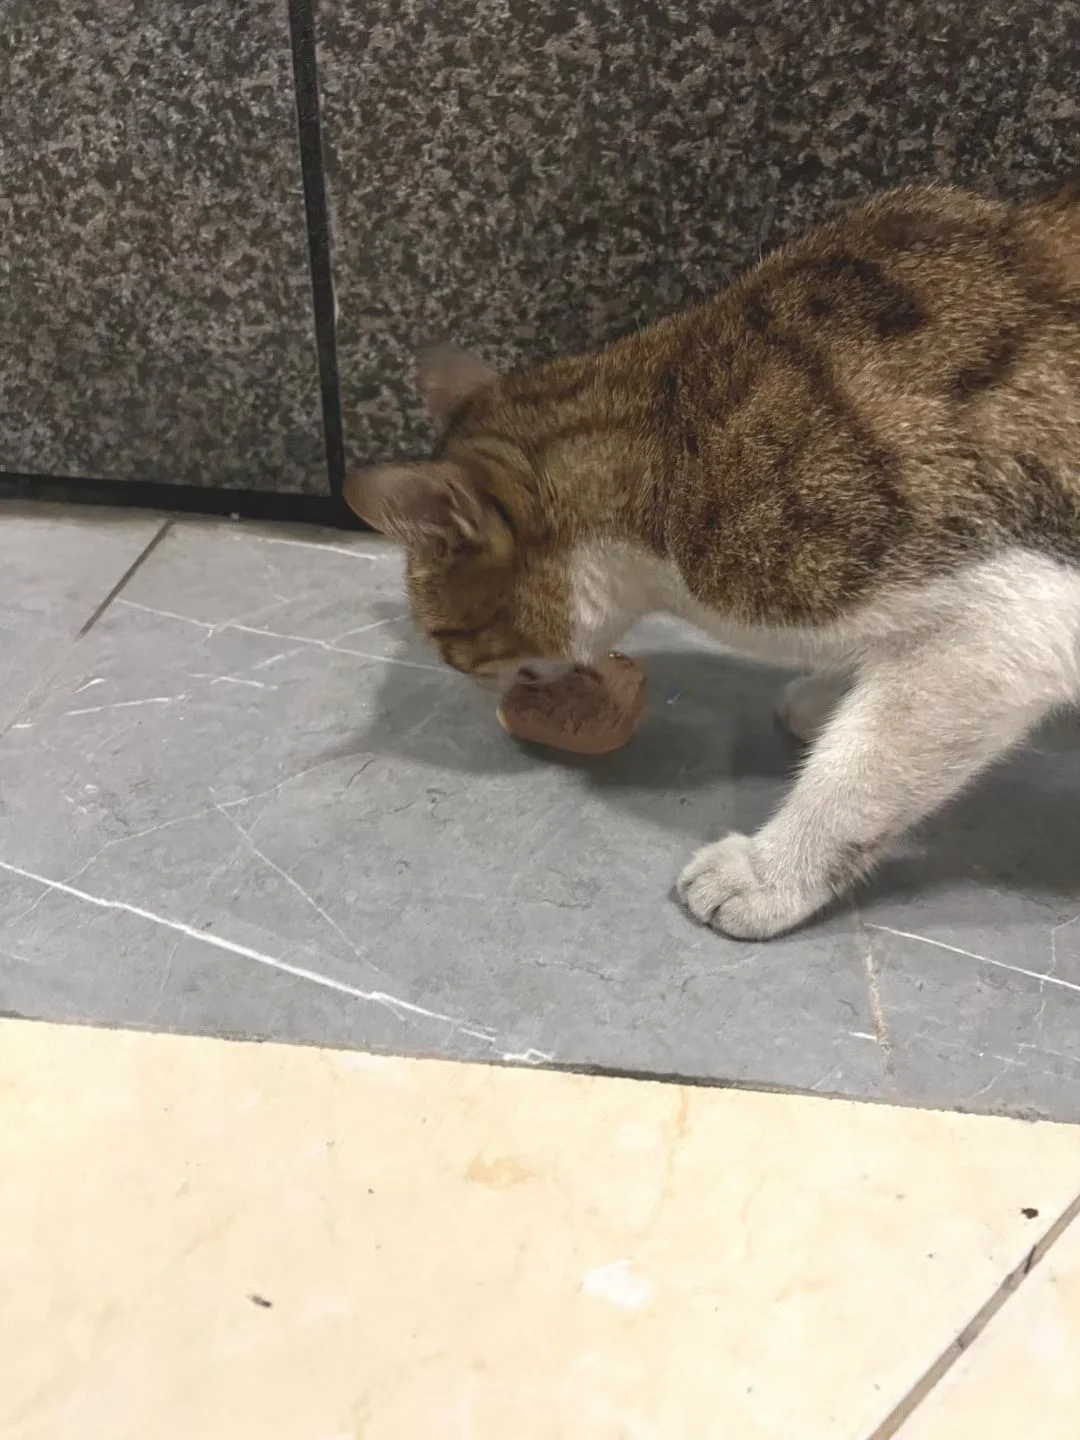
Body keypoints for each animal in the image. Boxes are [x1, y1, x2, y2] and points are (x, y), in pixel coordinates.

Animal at [345, 180, 1080, 940]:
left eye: (444, 640)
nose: (476, 689)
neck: (667, 433)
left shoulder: (1009, 629)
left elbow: (857, 777)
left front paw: (769, 875)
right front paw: (833, 696)